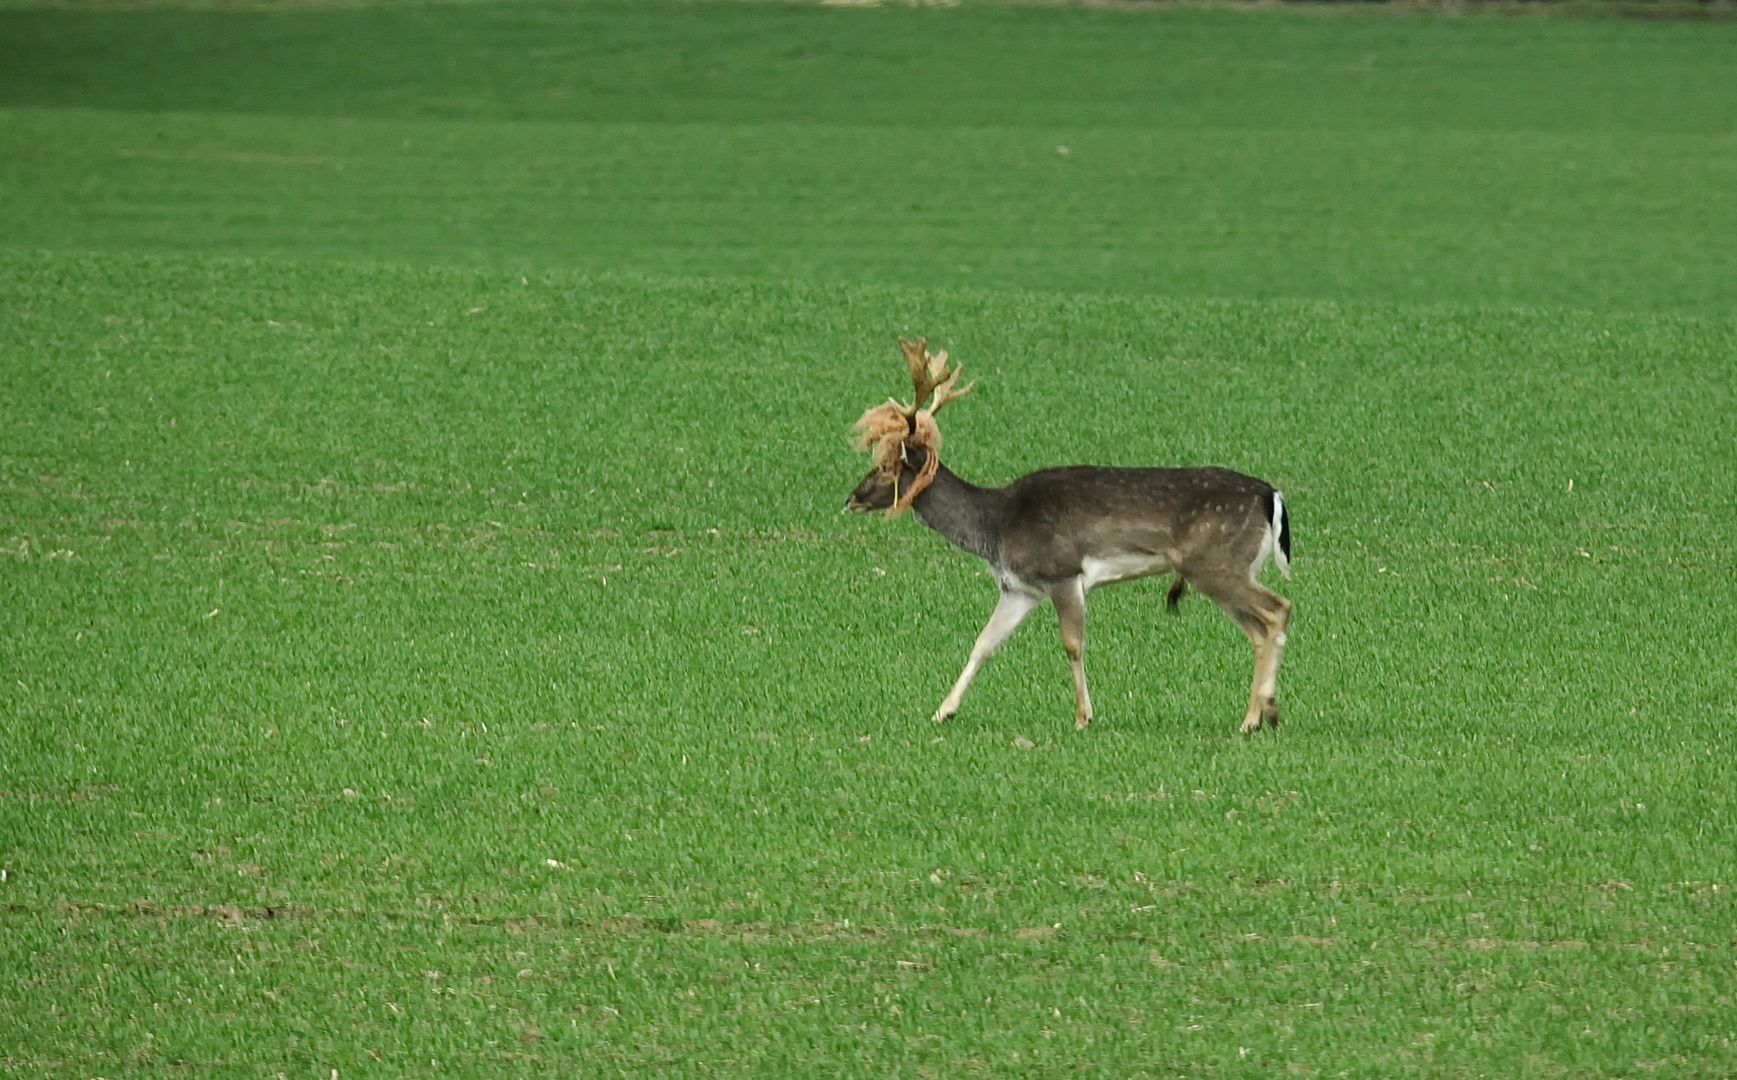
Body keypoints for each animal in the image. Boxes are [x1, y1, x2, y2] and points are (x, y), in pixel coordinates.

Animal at [840, 340, 1292, 736]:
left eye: (886, 465)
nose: (851, 498)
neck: (995, 526)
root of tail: (1271, 496)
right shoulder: (1019, 589)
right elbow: (983, 643)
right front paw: (942, 711)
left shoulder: (1063, 572)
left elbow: (1072, 644)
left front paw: (1083, 717)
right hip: (1223, 570)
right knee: (1258, 629)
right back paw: (1256, 715)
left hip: (1217, 563)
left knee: (1278, 609)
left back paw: (1263, 712)